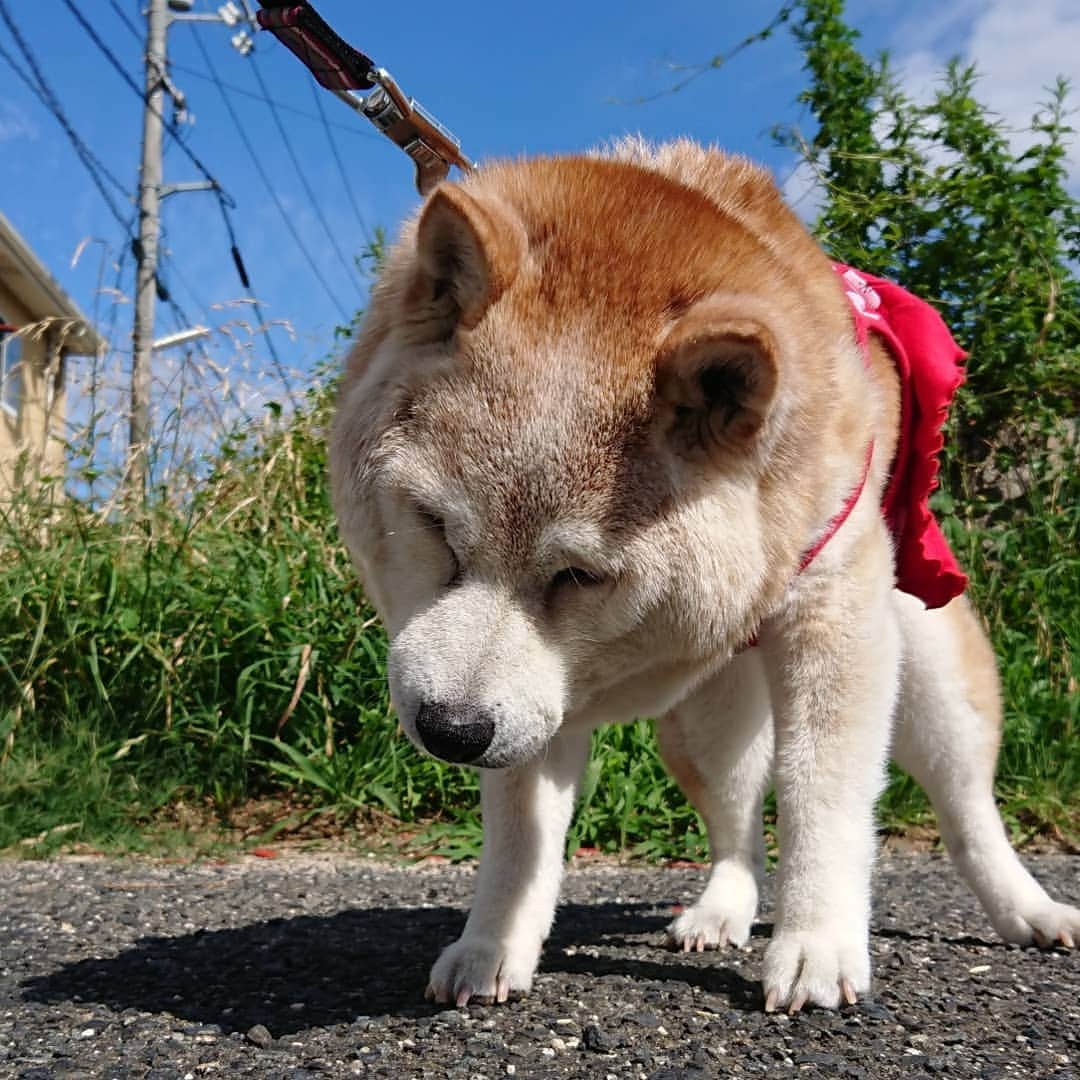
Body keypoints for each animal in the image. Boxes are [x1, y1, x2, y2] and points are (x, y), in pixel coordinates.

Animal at [330, 137, 1080, 1010]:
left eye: (580, 576)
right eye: (437, 529)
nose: (452, 730)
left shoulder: (834, 621)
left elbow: (821, 795)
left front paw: (817, 942)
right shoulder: (531, 699)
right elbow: (520, 836)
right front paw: (494, 944)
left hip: (931, 677)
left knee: (966, 812)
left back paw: (1028, 910)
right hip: (703, 727)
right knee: (737, 831)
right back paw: (722, 909)